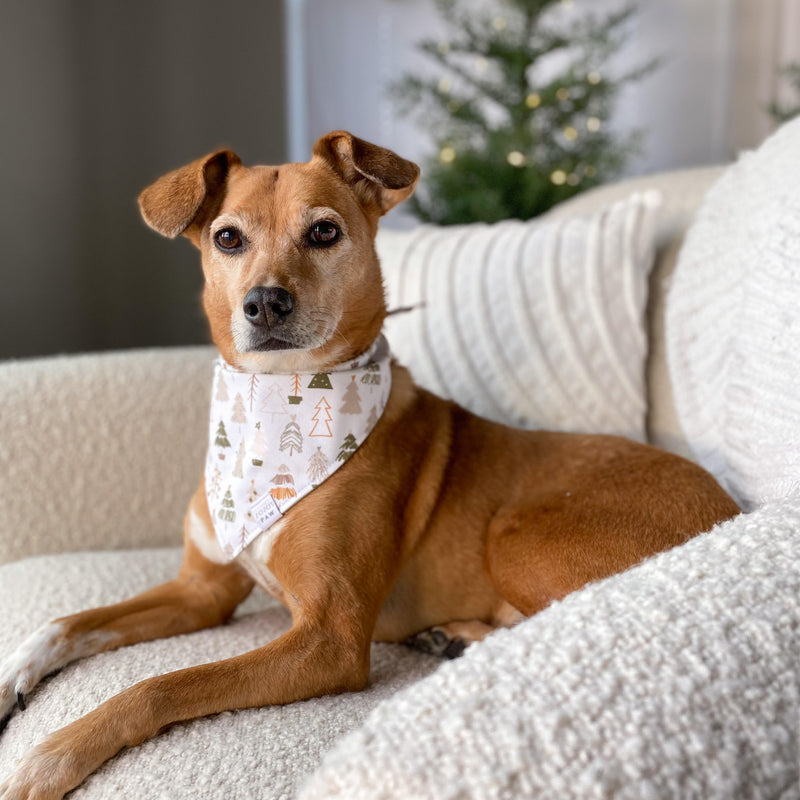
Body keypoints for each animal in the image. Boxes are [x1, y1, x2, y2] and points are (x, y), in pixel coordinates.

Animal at [0, 133, 736, 800]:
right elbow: (68, 622)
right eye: (228, 238)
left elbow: (160, 685)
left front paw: (50, 758)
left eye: (324, 231)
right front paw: (13, 676)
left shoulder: (330, 638)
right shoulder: (201, 590)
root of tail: (729, 506)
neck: (274, 406)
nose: (264, 303)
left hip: (519, 535)